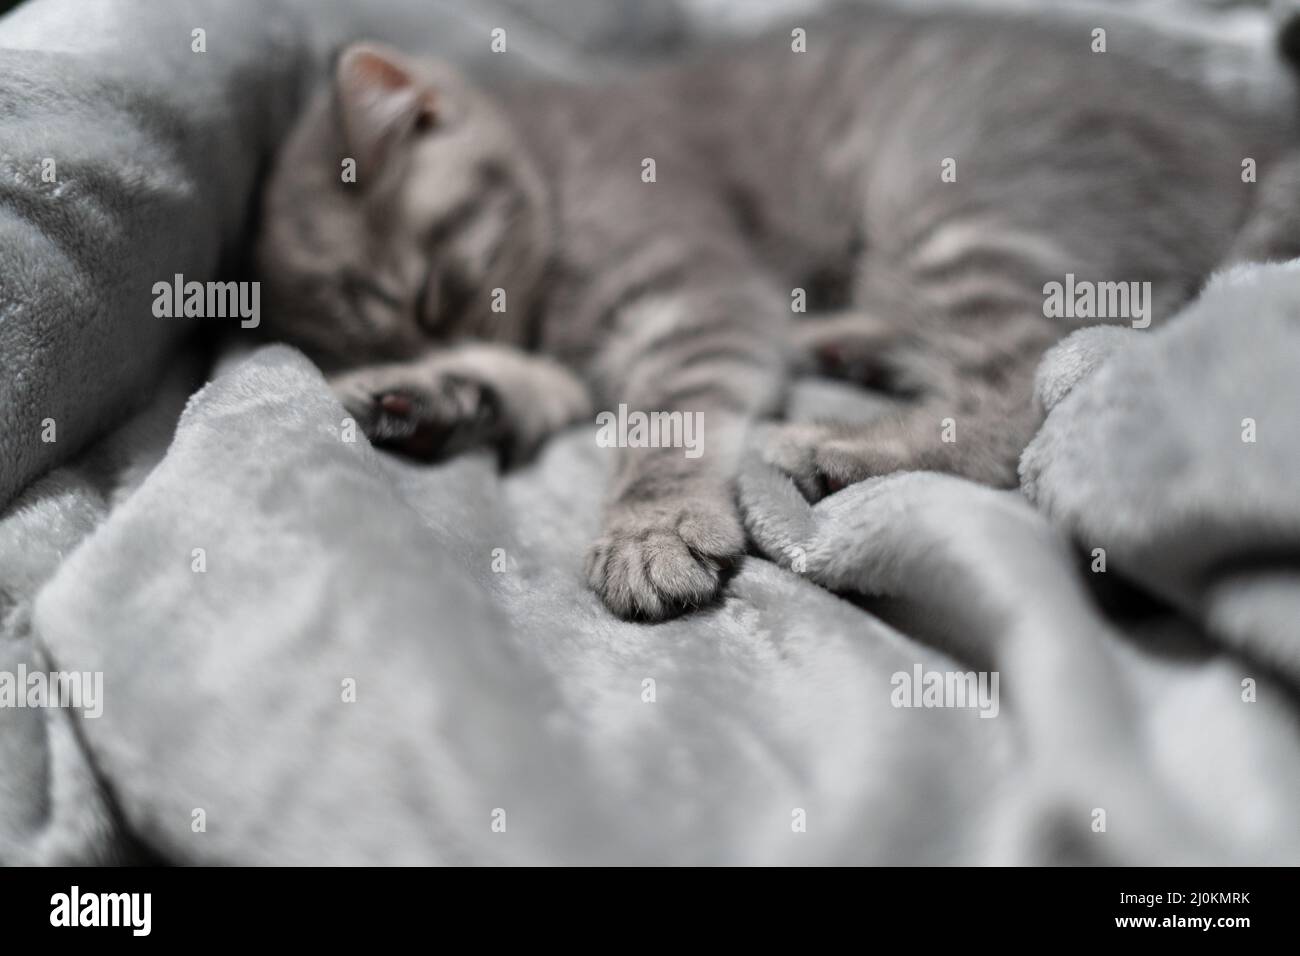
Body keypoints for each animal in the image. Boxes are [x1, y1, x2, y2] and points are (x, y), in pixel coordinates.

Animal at [253, 3, 1300, 621]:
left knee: (1024, 398)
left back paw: (837, 445)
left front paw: (651, 531)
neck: (550, 164)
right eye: (405, 323)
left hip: (964, 206)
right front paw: (425, 390)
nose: (436, 345)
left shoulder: (696, 297)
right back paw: (844, 346)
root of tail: (1247, 136)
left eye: (434, 294)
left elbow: (669, 424)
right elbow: (530, 382)